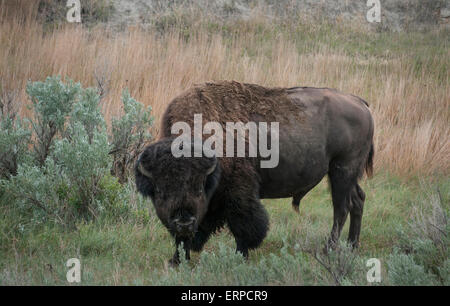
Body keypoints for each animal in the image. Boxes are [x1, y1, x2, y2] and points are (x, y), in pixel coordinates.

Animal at [134, 81, 372, 266]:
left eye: (199, 187)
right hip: (345, 174)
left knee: (341, 208)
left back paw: (329, 249)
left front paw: (241, 255)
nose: (183, 223)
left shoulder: (239, 192)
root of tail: (360, 102)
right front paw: (176, 261)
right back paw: (352, 246)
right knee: (357, 200)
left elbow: (244, 224)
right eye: (160, 191)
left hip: (342, 169)